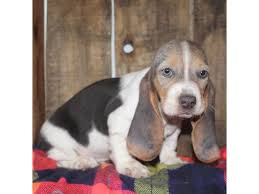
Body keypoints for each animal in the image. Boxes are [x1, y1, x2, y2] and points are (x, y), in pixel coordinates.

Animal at [39, 40, 221, 178]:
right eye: (167, 71)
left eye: (203, 73)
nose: (188, 101)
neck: (165, 116)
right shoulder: (117, 121)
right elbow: (122, 146)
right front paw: (131, 166)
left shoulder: (174, 130)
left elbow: (169, 144)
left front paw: (171, 160)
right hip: (59, 141)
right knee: (57, 156)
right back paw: (81, 161)